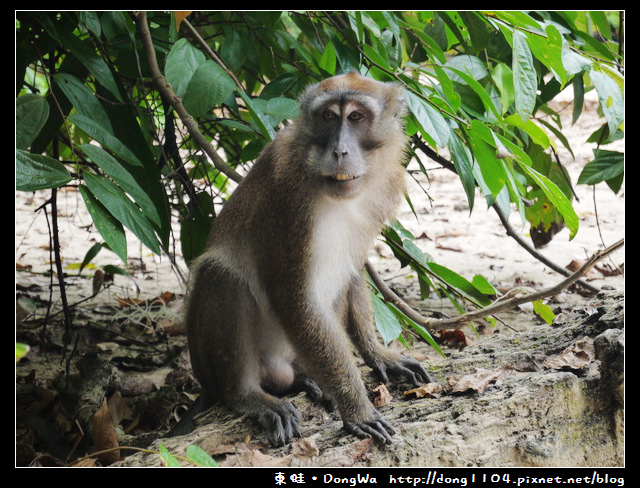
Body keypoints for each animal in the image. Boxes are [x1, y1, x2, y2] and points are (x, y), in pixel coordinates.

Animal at [184, 70, 430, 448]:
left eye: (356, 117)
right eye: (329, 116)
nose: (340, 150)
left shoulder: (385, 189)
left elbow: (352, 270)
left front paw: (377, 354)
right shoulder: (288, 199)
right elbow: (292, 297)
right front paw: (357, 409)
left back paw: (307, 379)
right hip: (214, 365)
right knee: (222, 274)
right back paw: (248, 395)